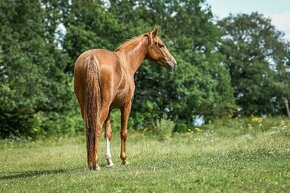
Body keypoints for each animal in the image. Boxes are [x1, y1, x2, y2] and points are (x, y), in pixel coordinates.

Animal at [73, 27, 176, 170]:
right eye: (161, 45)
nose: (173, 63)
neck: (126, 63)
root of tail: (91, 57)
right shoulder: (126, 105)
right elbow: (123, 132)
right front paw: (124, 159)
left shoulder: (110, 110)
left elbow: (108, 133)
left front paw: (109, 161)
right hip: (103, 106)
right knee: (97, 127)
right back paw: (96, 164)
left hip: (86, 105)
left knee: (89, 128)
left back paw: (90, 163)